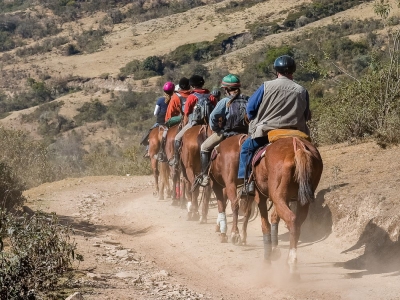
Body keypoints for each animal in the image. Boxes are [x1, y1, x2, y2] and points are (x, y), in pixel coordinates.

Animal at [253, 137, 324, 276]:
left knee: (291, 219)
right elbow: (274, 217)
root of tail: (298, 146)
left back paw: (291, 263)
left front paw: (268, 259)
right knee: (297, 224)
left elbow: (265, 225)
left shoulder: (261, 196)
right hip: (302, 200)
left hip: (278, 197)